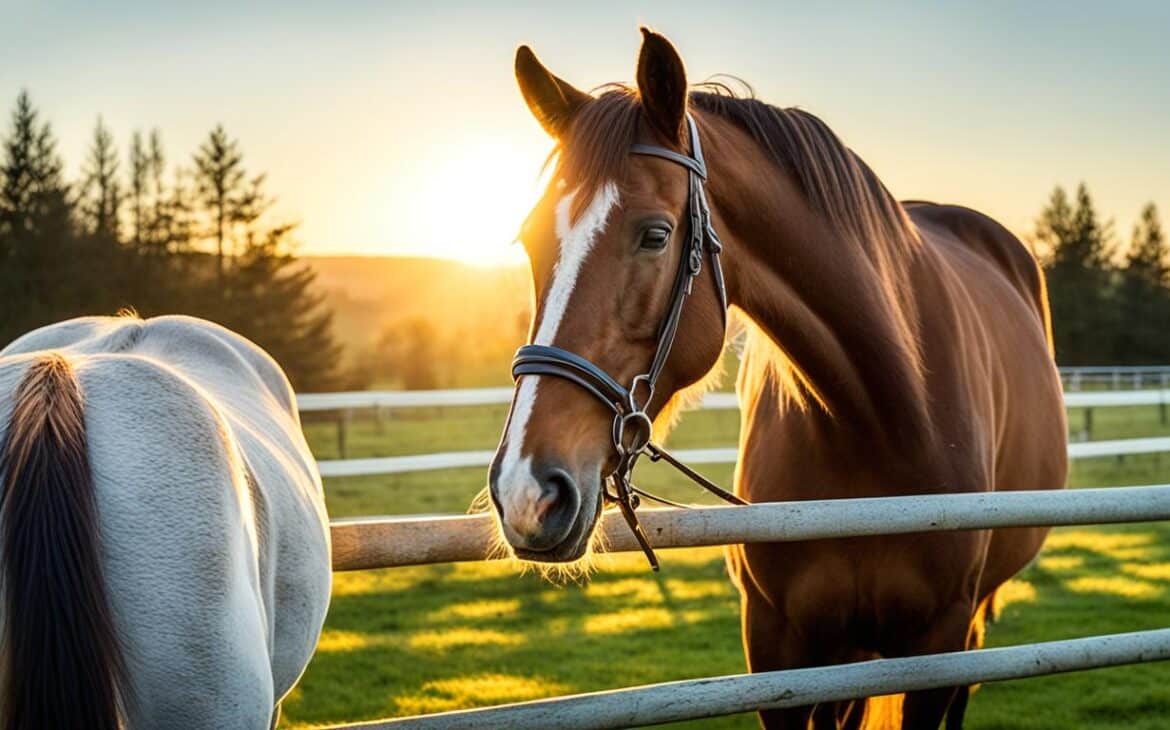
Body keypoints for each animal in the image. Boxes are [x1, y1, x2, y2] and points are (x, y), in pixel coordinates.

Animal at [484, 28, 1071, 730]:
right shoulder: (778, 650)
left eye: (655, 234)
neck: (879, 420)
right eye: (528, 241)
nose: (526, 492)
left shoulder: (939, 648)